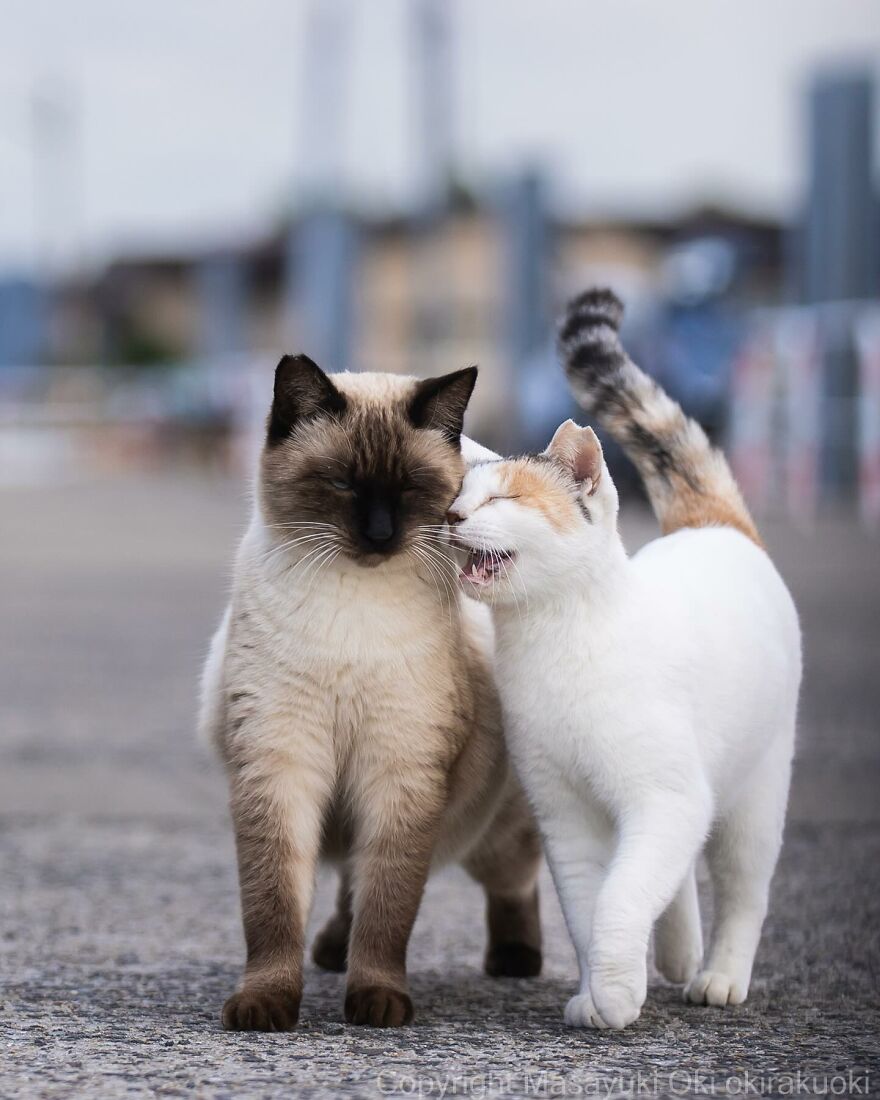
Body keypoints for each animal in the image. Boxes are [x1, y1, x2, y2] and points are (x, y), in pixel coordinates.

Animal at [451, 288, 800, 1025]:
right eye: (455, 498)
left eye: (503, 497)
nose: (452, 518)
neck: (553, 642)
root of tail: (714, 523)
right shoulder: (567, 819)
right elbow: (588, 910)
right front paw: (598, 993)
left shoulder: (664, 799)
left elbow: (621, 897)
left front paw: (615, 992)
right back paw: (676, 951)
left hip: (756, 796)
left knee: (742, 888)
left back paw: (719, 975)